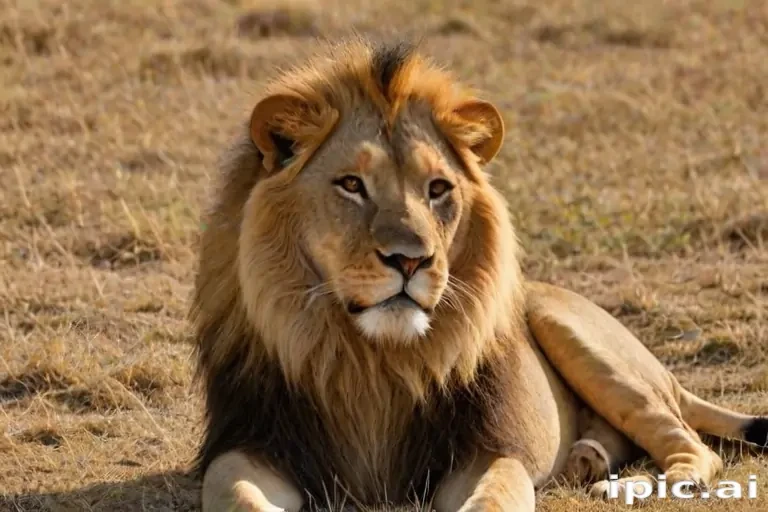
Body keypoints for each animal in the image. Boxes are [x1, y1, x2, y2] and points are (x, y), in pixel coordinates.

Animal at [190, 38, 768, 511]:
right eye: (351, 184)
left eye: (438, 189)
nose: (411, 260)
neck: (374, 363)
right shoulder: (253, 443)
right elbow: (237, 493)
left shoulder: (484, 448)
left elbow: (495, 494)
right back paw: (588, 459)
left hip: (580, 338)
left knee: (693, 447)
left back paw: (628, 484)